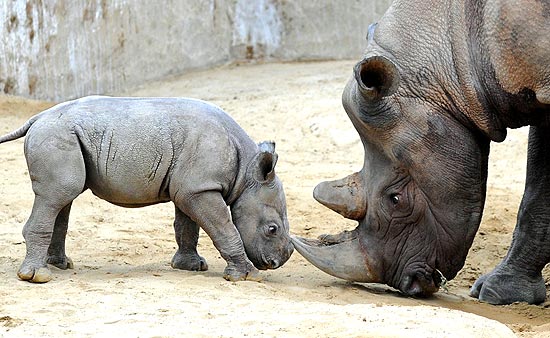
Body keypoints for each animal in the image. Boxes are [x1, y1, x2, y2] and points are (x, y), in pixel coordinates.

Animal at [0, 95, 296, 282]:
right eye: (272, 229)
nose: (276, 263)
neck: (247, 173)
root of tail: (37, 118)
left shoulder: (192, 188)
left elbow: (187, 226)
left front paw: (190, 267)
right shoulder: (201, 189)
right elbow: (224, 228)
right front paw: (248, 276)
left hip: (61, 135)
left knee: (62, 198)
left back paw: (60, 266)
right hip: (56, 136)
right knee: (57, 195)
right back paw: (38, 278)